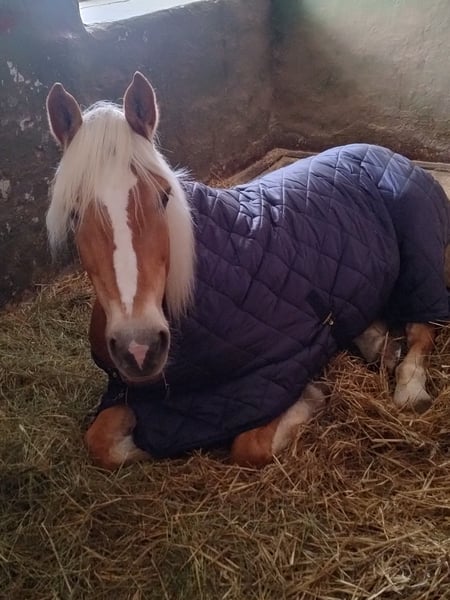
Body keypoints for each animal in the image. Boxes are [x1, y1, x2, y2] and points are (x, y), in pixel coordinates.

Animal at [46, 72, 450, 470]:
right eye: (74, 212)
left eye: (163, 196)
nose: (139, 347)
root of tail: (388, 154)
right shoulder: (132, 390)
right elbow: (100, 442)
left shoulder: (276, 368)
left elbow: (248, 445)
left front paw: (312, 396)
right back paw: (379, 343)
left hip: (421, 255)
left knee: (423, 326)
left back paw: (410, 387)